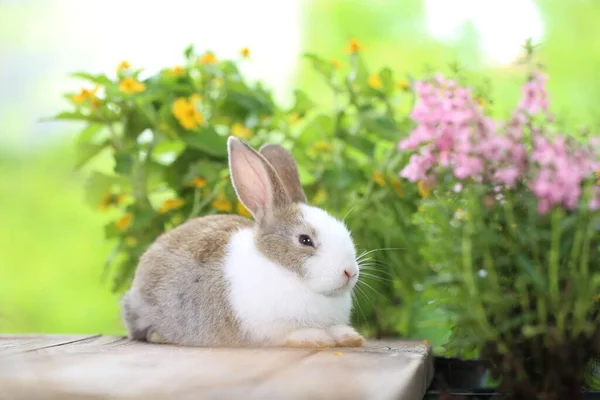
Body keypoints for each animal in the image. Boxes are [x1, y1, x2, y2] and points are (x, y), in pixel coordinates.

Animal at [120, 137, 366, 346]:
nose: (350, 272)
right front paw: (315, 338)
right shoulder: (268, 327)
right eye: (305, 240)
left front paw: (349, 337)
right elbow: (290, 333)